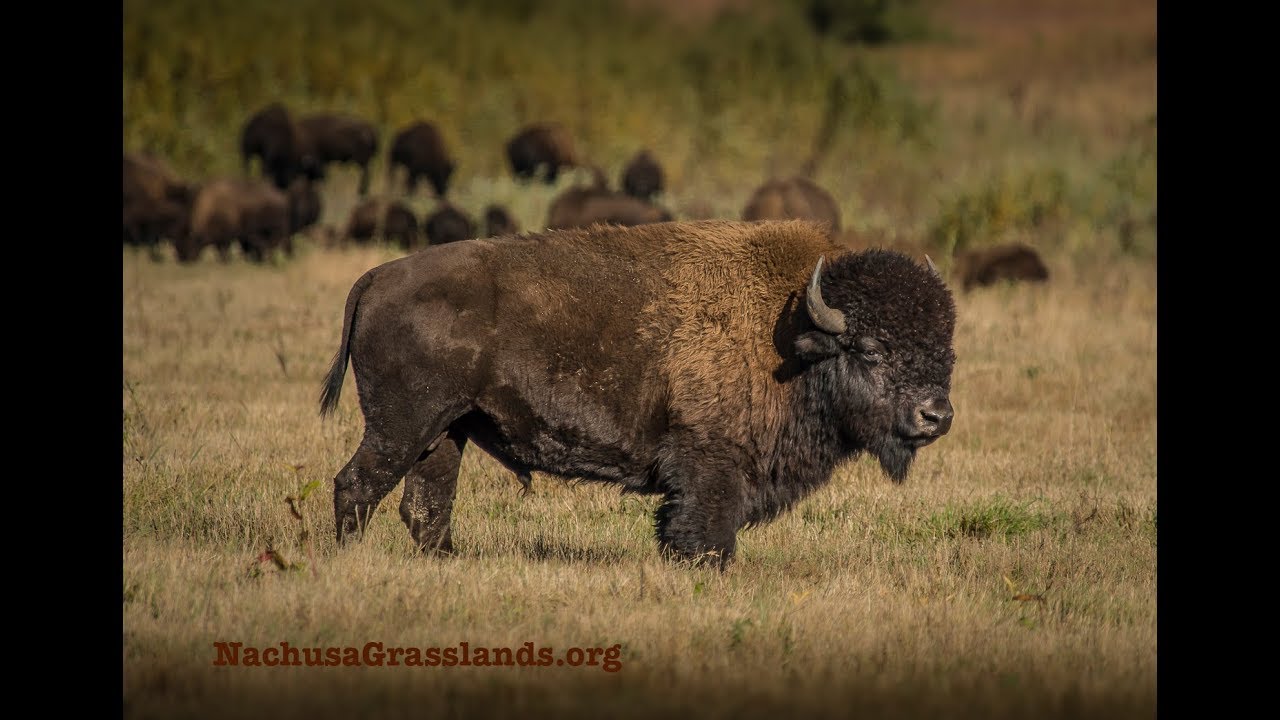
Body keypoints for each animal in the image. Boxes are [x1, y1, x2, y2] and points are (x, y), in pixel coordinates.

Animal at [317, 219, 962, 566]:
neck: (789, 332)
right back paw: (350, 559)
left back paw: (448, 560)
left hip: (446, 432)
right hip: (401, 427)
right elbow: (704, 530)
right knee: (357, 485)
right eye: (870, 350)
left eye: (946, 350)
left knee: (425, 503)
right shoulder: (710, 466)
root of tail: (376, 277)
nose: (936, 415)